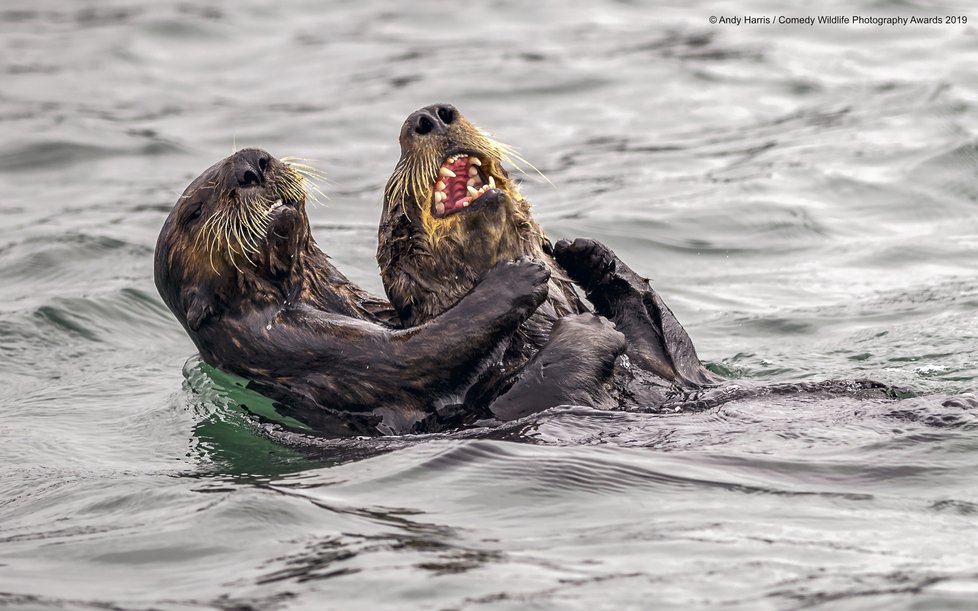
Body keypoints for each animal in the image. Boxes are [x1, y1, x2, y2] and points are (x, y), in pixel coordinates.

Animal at [155, 148, 620, 436]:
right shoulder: (293, 341)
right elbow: (416, 350)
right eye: (196, 211)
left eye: (261, 155)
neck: (306, 290)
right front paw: (518, 277)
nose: (254, 163)